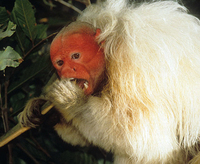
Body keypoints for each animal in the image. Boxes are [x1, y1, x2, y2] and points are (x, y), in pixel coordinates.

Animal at [18, 0, 200, 163]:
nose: (68, 70)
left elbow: (146, 138)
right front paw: (44, 109)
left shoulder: (134, 64)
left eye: (75, 56)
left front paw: (73, 103)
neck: (108, 52)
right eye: (60, 62)